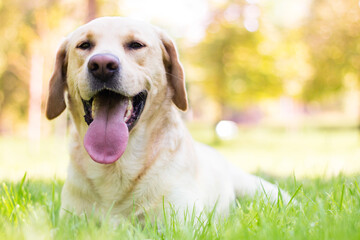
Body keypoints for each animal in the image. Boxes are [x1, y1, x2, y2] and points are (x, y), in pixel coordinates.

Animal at [45, 16, 292, 219]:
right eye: (84, 45)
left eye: (136, 45)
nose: (102, 65)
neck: (117, 165)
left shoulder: (184, 223)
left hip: (261, 190)